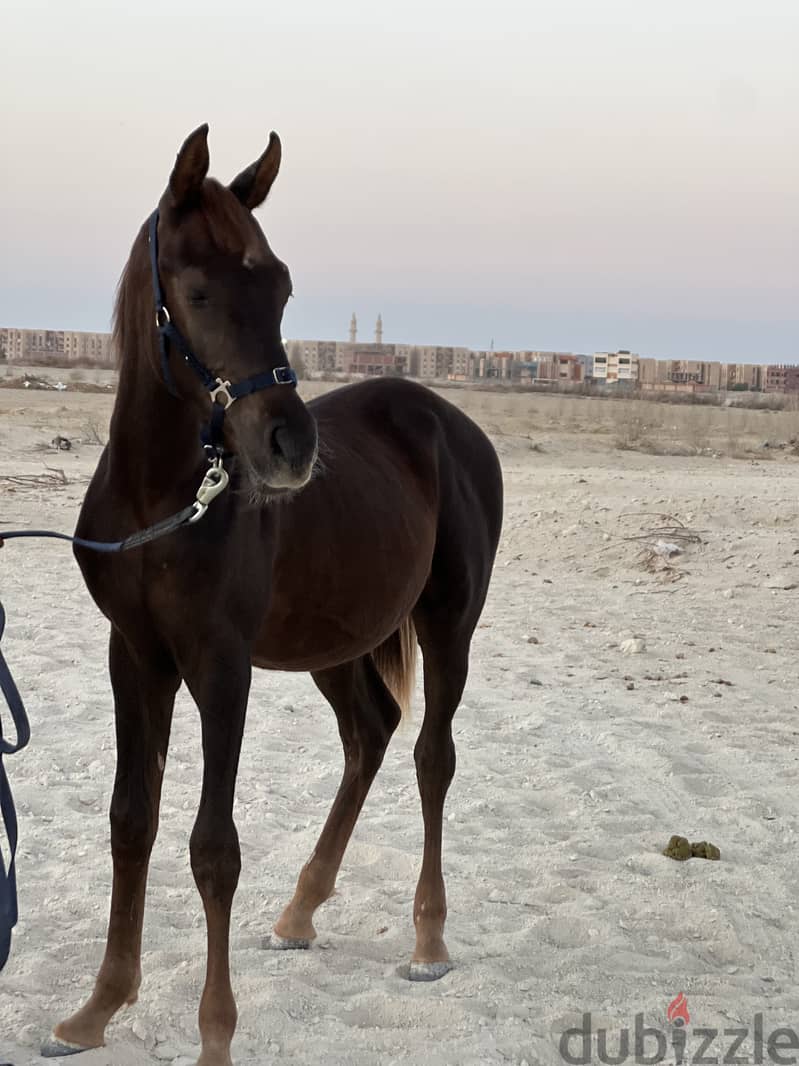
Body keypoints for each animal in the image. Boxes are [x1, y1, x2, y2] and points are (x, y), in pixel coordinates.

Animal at [45, 126, 500, 1066]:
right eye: (198, 290)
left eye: (282, 286)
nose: (291, 446)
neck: (158, 501)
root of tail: (453, 426)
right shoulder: (135, 657)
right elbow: (130, 821)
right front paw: (98, 1008)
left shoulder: (221, 666)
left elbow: (213, 847)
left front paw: (215, 1035)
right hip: (333, 640)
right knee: (369, 735)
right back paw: (299, 911)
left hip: (448, 626)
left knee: (430, 756)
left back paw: (427, 939)